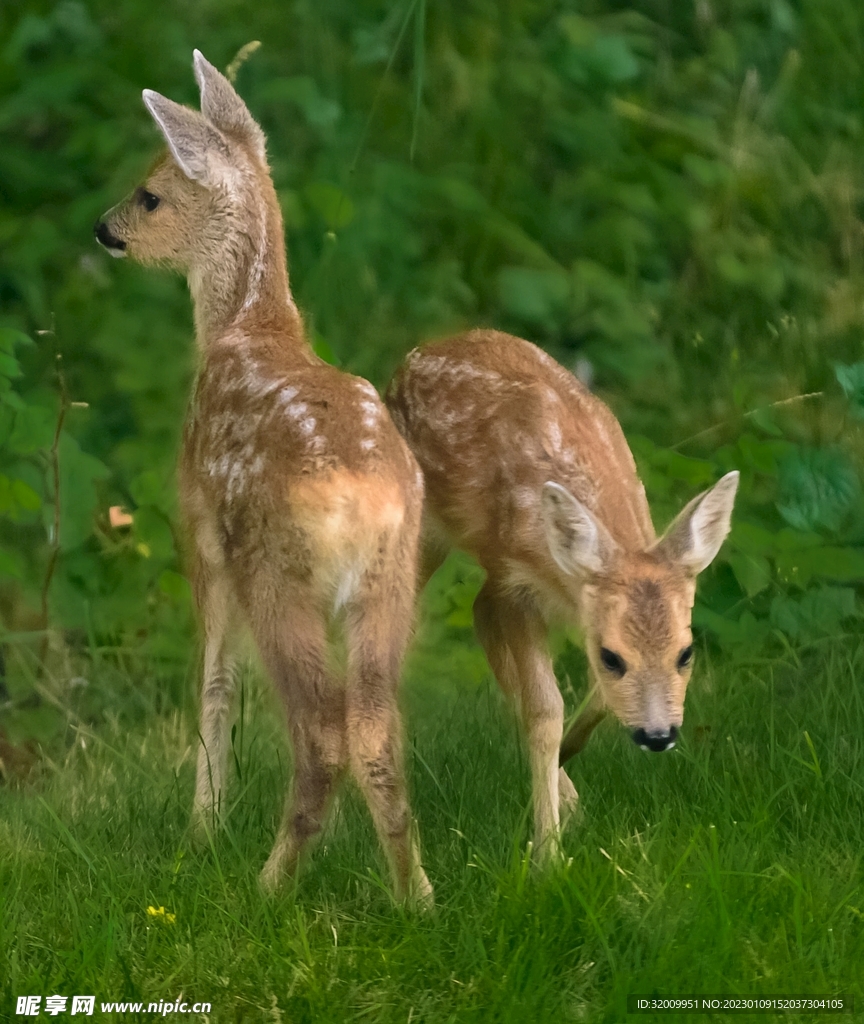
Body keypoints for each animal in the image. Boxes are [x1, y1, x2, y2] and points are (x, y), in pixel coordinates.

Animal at [94, 51, 432, 905]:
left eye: (151, 192)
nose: (104, 228)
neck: (250, 327)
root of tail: (358, 498)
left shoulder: (199, 529)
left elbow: (214, 681)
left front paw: (200, 828)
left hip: (277, 572)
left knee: (322, 731)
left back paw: (268, 883)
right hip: (392, 580)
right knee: (375, 726)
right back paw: (416, 894)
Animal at [386, 329, 738, 858]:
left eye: (686, 653)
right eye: (613, 656)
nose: (657, 735)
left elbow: (590, 698)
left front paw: (568, 772)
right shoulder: (518, 582)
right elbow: (546, 710)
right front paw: (547, 851)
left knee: (476, 615)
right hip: (427, 532)